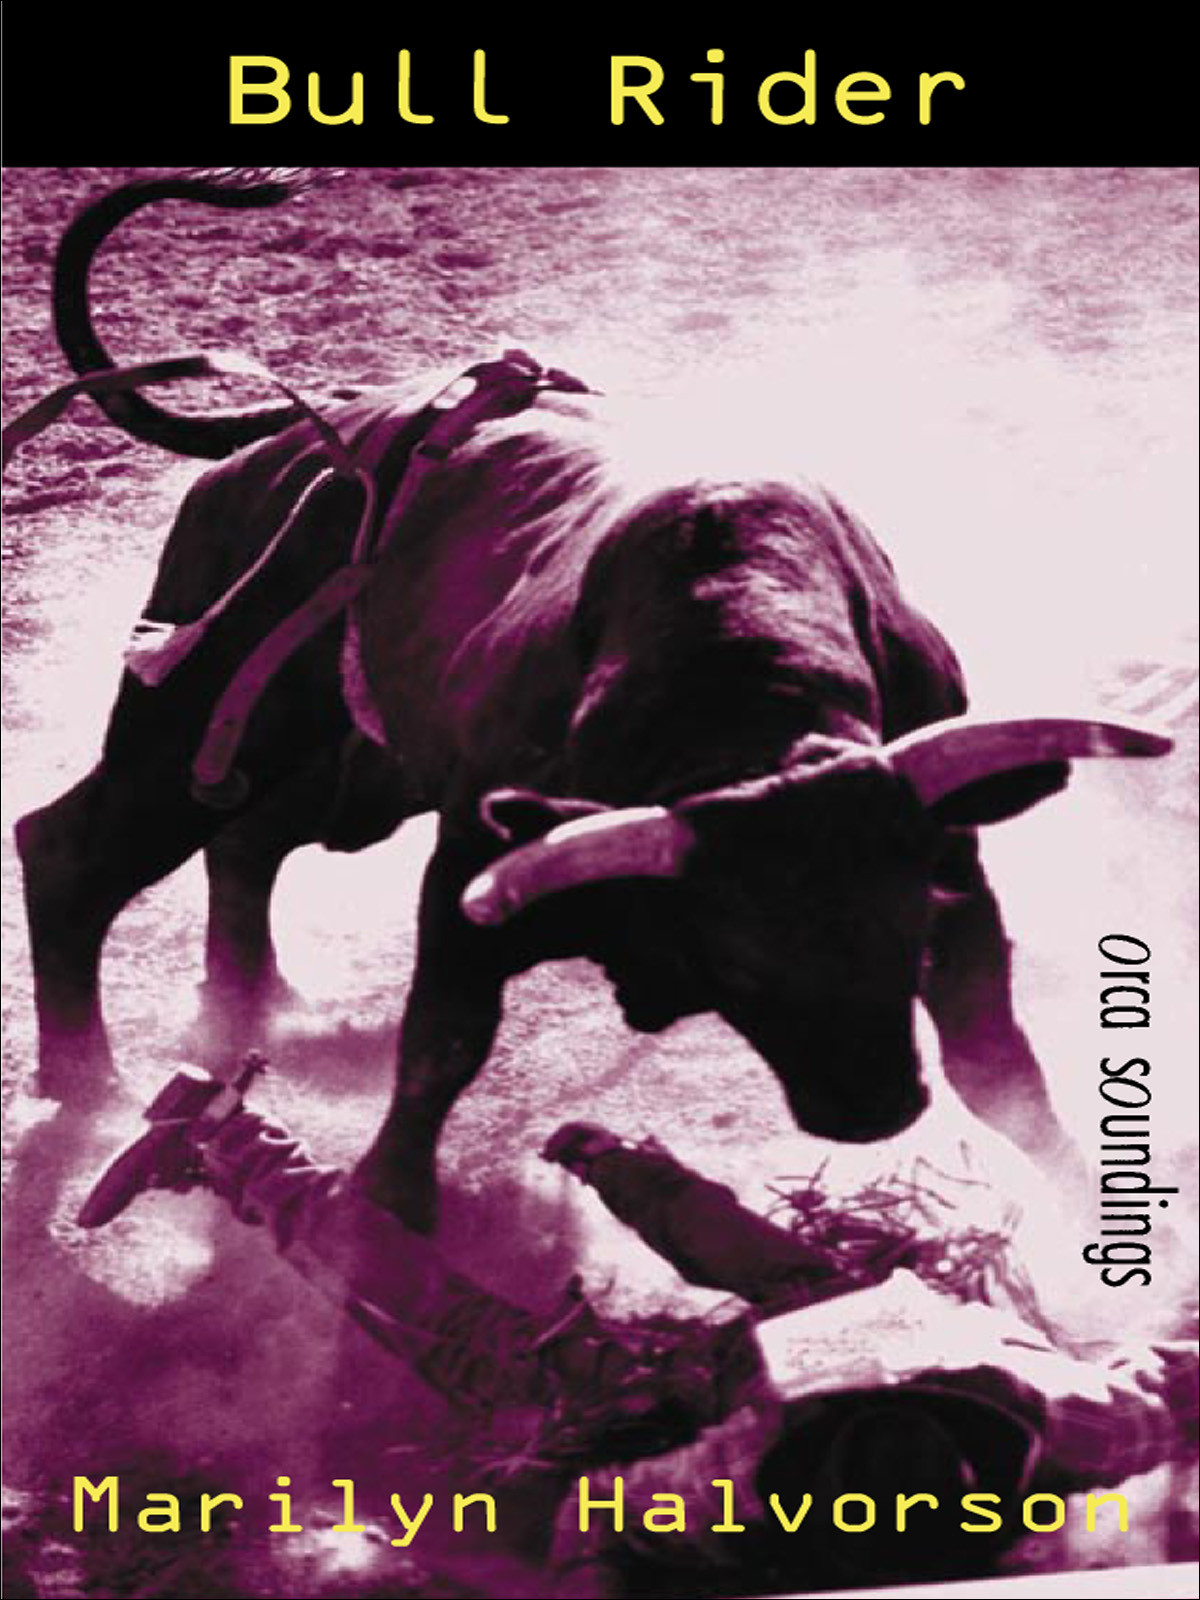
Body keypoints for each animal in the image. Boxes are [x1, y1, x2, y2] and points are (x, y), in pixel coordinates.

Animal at [13, 171, 1168, 1231]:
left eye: (909, 920)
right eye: (738, 954)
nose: (874, 1107)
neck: (745, 699)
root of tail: (305, 433)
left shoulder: (956, 861)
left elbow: (998, 1066)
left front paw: (1086, 1206)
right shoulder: (470, 875)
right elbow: (441, 1045)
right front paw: (384, 1207)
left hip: (347, 768)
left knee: (245, 844)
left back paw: (250, 1005)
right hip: (191, 720)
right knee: (69, 849)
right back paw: (86, 1081)